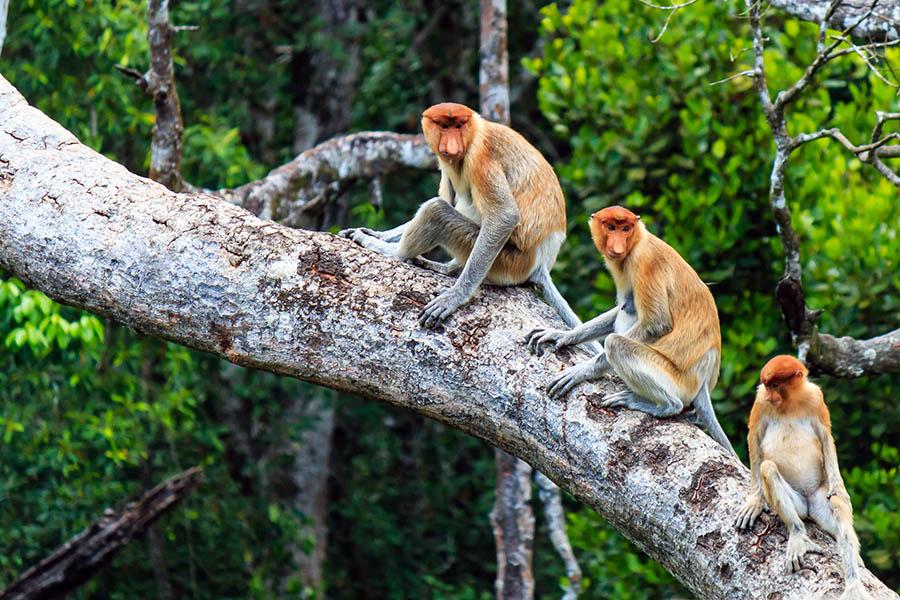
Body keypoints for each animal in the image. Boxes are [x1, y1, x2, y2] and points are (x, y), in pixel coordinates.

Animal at [340, 102, 596, 340]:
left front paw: (454, 297)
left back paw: (396, 253)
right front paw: (375, 233)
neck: (474, 132)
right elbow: (449, 197)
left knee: (437, 210)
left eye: (459, 126)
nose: (452, 146)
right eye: (444, 126)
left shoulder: (479, 157)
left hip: (509, 262)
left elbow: (504, 216)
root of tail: (541, 263)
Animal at [526, 206, 735, 456]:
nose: (618, 247)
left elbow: (656, 323)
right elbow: (619, 309)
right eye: (611, 227)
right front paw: (562, 335)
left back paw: (664, 405)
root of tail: (703, 380)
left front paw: (582, 371)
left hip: (676, 379)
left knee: (617, 343)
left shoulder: (643, 261)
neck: (638, 241)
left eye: (626, 228)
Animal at [735, 355, 871, 599]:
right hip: (798, 504)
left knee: (837, 505)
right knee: (768, 468)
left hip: (819, 499)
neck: (789, 403)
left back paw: (853, 582)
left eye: (775, 385)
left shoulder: (816, 399)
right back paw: (798, 536)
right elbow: (755, 438)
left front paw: (840, 489)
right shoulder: (760, 403)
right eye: (767, 386)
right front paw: (755, 502)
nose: (770, 396)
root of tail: (808, 504)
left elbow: (826, 438)